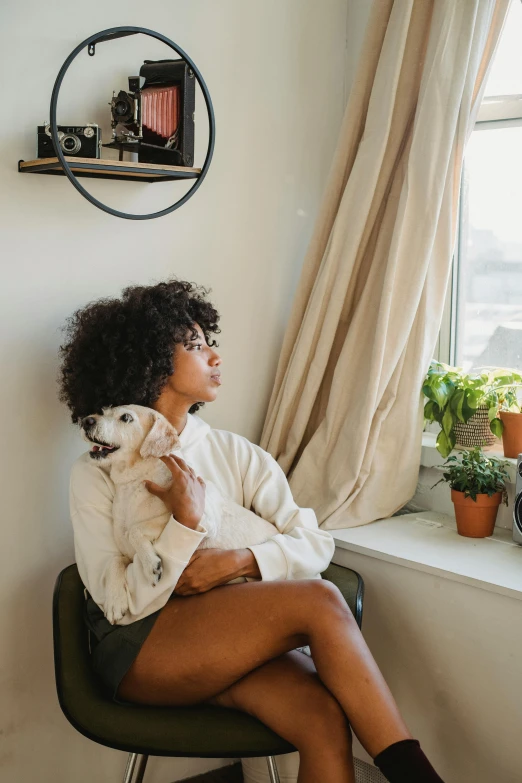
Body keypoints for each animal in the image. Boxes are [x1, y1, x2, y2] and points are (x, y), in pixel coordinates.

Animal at [79, 408, 274, 620]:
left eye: (126, 417)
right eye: (104, 411)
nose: (85, 420)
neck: (134, 482)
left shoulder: (203, 521)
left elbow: (135, 530)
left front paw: (151, 565)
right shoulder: (127, 555)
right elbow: (113, 561)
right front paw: (114, 600)